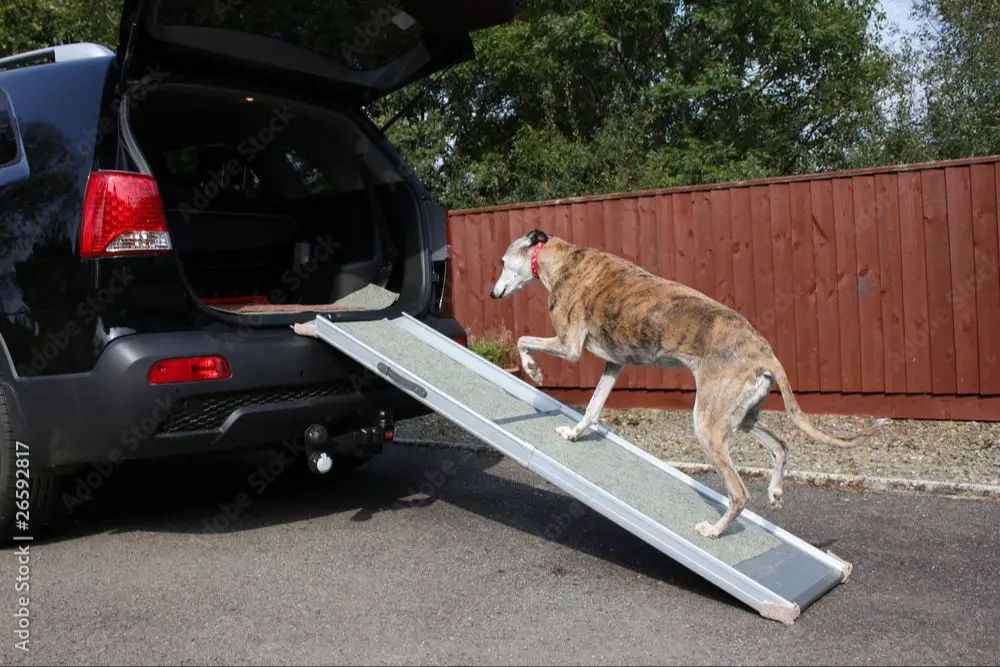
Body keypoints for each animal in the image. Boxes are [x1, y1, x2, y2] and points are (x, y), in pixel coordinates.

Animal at [488, 230, 888, 536]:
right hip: (741, 417)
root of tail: (764, 353)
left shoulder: (569, 346)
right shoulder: (614, 364)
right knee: (781, 444)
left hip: (707, 424)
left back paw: (714, 531)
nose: (493, 294)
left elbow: (523, 340)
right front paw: (573, 434)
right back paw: (774, 491)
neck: (560, 257)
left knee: (740, 493)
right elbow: (592, 408)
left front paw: (533, 371)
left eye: (504, 262)